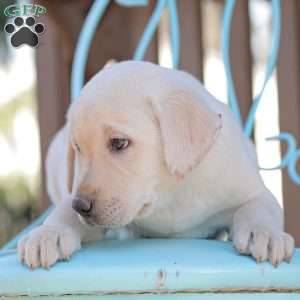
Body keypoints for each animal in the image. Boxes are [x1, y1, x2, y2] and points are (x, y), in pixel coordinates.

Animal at [18, 61, 296, 270]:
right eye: (77, 148)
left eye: (118, 143)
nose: (81, 206)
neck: (167, 195)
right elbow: (63, 212)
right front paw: (48, 234)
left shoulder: (251, 190)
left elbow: (258, 208)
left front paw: (264, 234)